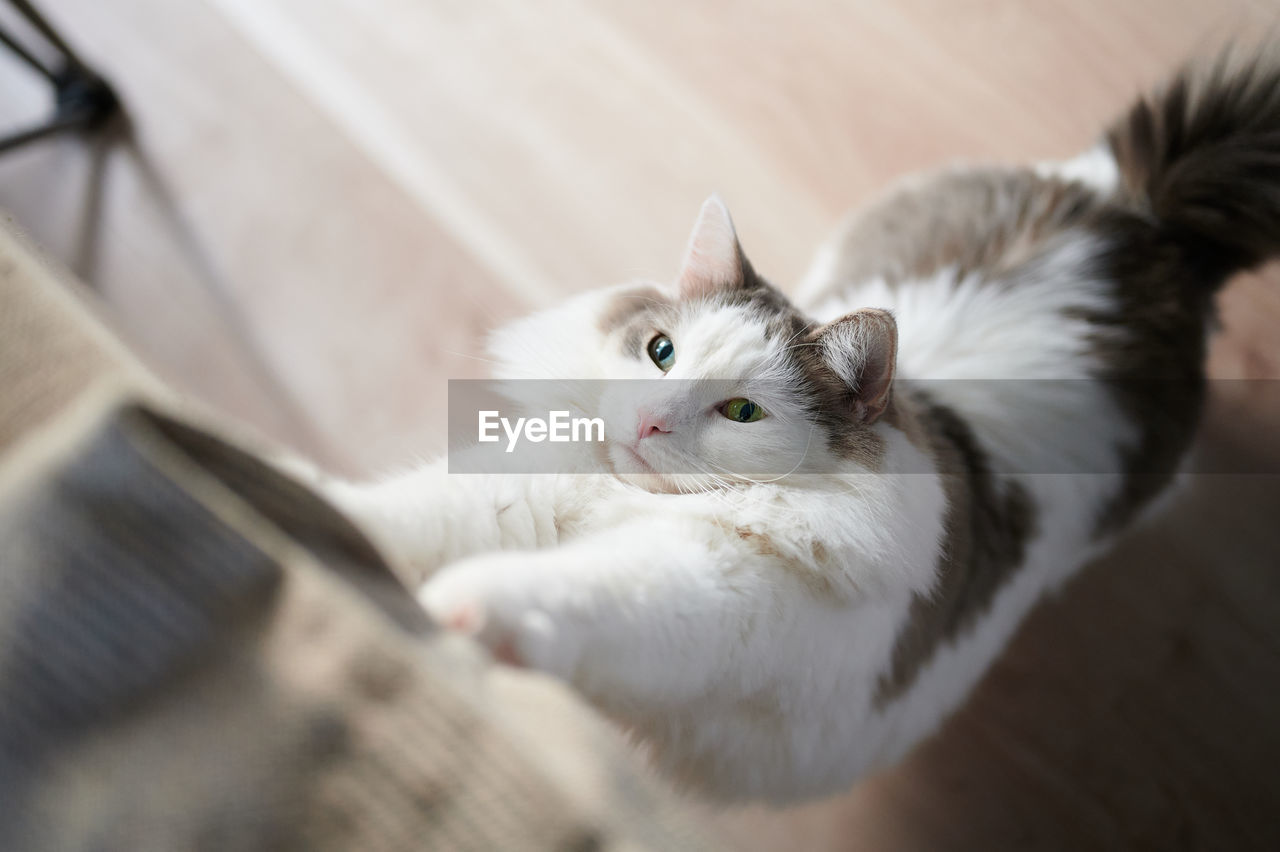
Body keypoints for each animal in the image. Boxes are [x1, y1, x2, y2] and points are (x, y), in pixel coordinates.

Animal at [327, 49, 1280, 798]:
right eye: (661, 351)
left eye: (743, 410)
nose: (647, 423)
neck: (625, 501)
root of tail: (1142, 219)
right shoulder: (513, 495)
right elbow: (392, 517)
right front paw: (312, 505)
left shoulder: (702, 596)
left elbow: (569, 592)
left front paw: (466, 609)